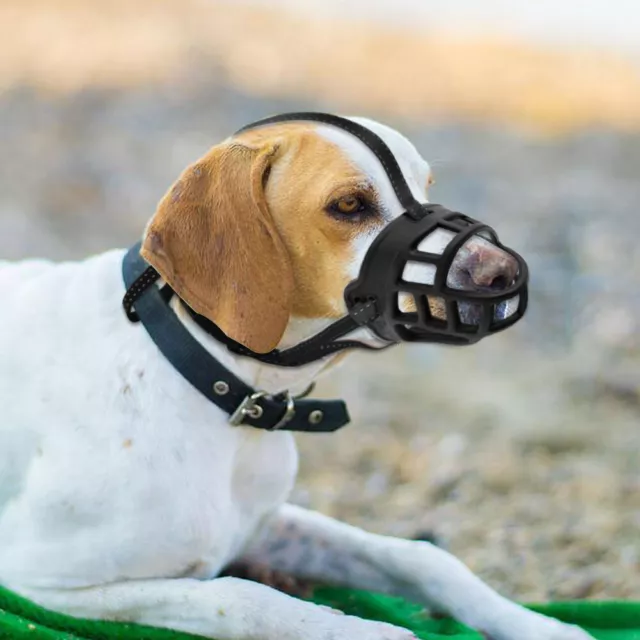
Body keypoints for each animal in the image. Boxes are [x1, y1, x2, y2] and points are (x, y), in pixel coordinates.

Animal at [0, 116, 592, 640]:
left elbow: (420, 557)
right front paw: (360, 632)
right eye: (349, 205)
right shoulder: (43, 579)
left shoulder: (265, 522)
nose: (505, 272)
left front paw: (542, 626)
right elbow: (238, 599)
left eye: (426, 187)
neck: (213, 383)